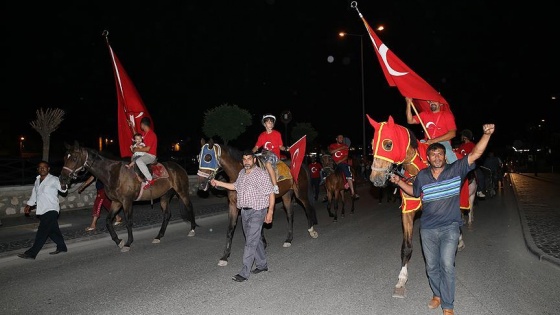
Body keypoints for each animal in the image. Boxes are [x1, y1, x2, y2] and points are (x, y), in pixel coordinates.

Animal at [59, 142, 198, 253]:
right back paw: (158, 236)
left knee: (189, 207)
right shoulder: (116, 202)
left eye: (74, 158)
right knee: (167, 215)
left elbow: (128, 221)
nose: (63, 178)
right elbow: (108, 221)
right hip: (164, 196)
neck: (113, 173)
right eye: (65, 157)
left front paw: (128, 243)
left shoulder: (127, 201)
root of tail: (179, 167)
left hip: (182, 191)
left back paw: (192, 229)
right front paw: (118, 240)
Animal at [197, 139, 320, 268]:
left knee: (308, 208)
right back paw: (288, 239)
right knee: (290, 215)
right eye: (198, 157)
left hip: (301, 193)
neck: (240, 173)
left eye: (208, 157)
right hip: (286, 195)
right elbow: (230, 229)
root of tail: (300, 164)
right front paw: (225, 257)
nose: (201, 184)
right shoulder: (233, 205)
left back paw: (312, 231)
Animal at [368, 115, 476, 298]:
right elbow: (407, 247)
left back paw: (460, 240)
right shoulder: (408, 211)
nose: (375, 179)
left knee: (461, 217)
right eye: (371, 144)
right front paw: (401, 280)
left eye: (388, 144)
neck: (416, 169)